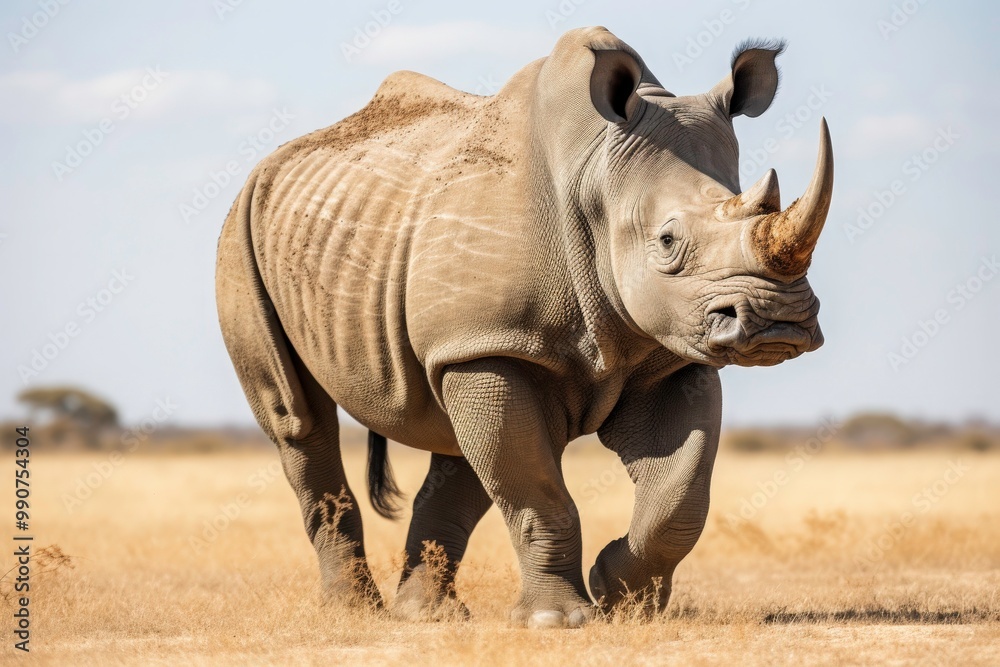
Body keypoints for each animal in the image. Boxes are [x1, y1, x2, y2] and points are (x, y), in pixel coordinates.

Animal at [216, 26, 832, 628]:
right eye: (667, 241)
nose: (780, 322)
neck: (598, 178)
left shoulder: (669, 354)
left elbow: (680, 495)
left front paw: (622, 599)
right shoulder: (495, 342)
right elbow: (538, 493)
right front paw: (558, 621)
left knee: (457, 439)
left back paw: (431, 617)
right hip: (241, 230)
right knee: (297, 417)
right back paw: (354, 614)